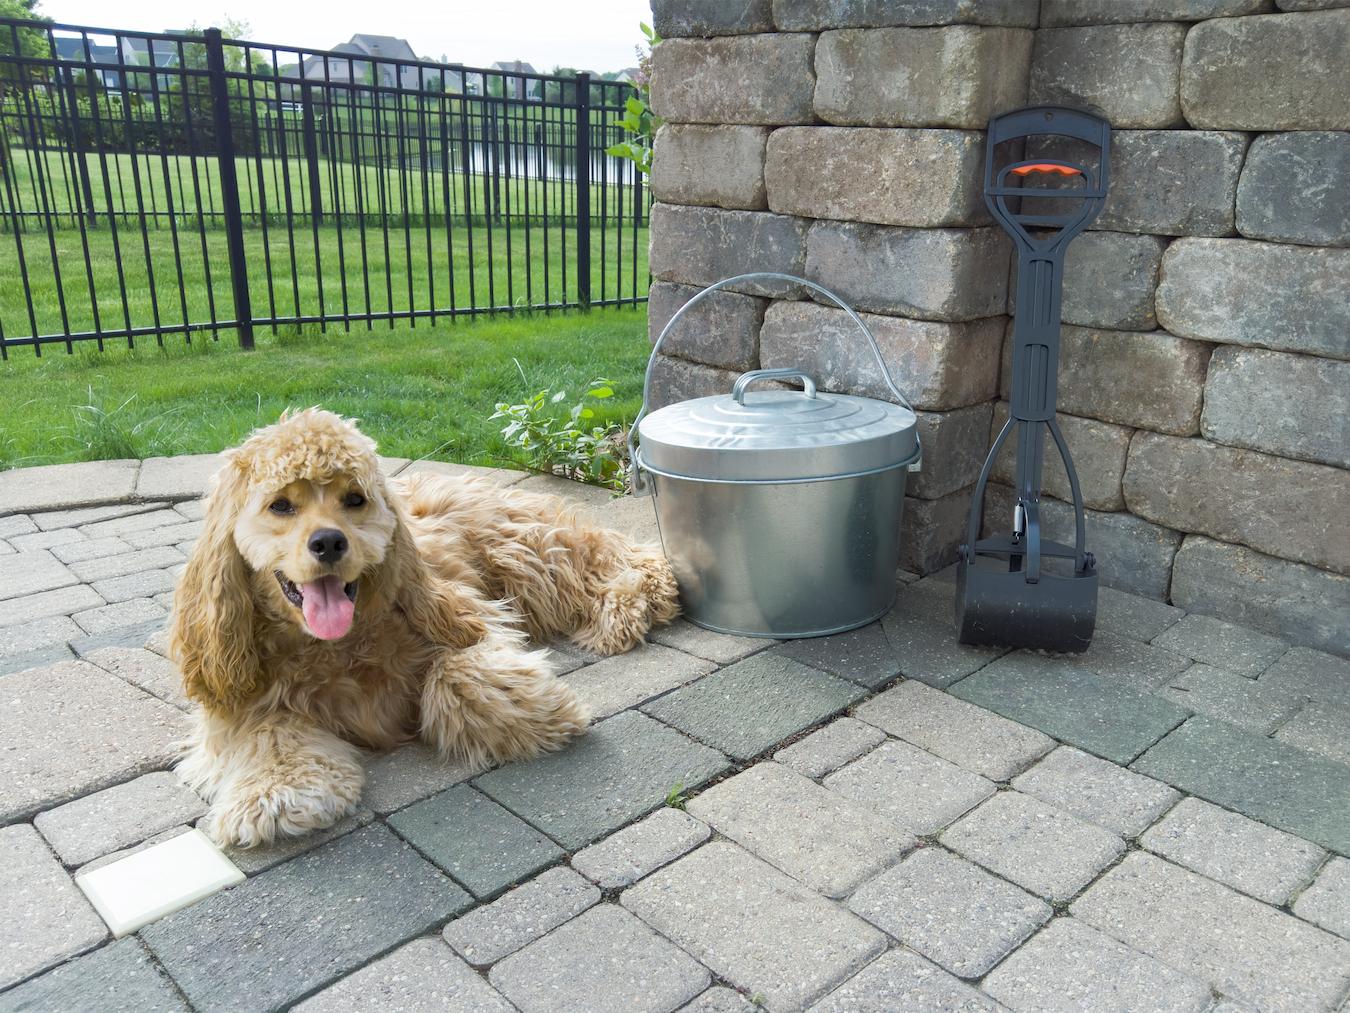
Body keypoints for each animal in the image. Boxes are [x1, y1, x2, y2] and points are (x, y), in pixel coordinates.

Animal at [168, 410, 675, 848]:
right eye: (280, 505)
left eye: (354, 499)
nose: (329, 542)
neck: (336, 648)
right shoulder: (238, 696)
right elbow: (267, 734)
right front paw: (276, 795)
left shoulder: (473, 616)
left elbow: (455, 673)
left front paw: (539, 710)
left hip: (528, 555)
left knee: (622, 557)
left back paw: (629, 604)